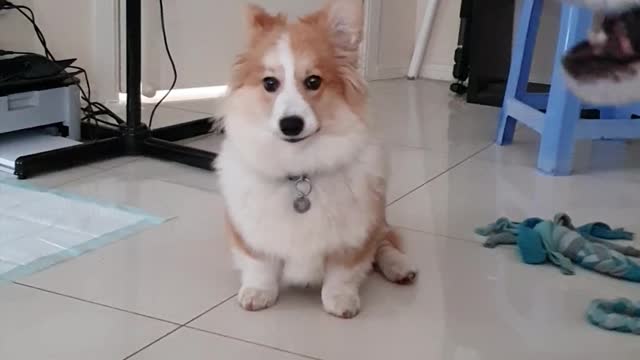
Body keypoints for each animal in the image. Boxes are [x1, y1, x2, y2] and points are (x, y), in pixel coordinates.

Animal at [218, 1, 418, 320]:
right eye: (270, 83)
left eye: (313, 81)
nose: (291, 124)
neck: (300, 170)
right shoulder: (249, 231)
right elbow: (259, 264)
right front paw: (258, 293)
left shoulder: (356, 232)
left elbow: (343, 272)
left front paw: (340, 300)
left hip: (379, 220)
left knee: (385, 242)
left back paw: (400, 267)